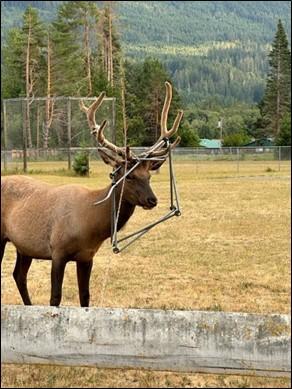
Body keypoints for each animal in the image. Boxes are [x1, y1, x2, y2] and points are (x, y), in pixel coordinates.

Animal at [0, 81, 182, 306]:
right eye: (128, 176)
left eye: (148, 175)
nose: (152, 200)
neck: (90, 224)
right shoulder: (57, 250)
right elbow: (55, 297)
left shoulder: (87, 257)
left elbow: (85, 297)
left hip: (24, 246)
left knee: (19, 275)